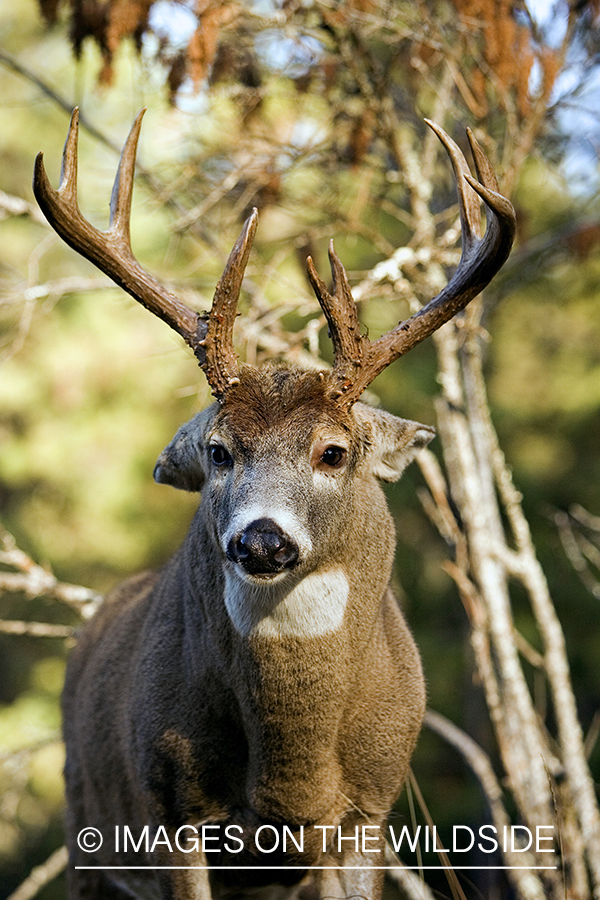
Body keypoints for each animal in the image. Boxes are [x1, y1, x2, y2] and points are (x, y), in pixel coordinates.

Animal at [34, 112, 516, 900]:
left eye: (334, 452)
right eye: (219, 450)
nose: (261, 541)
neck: (294, 773)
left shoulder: (370, 810)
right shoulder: (171, 807)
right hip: (87, 833)